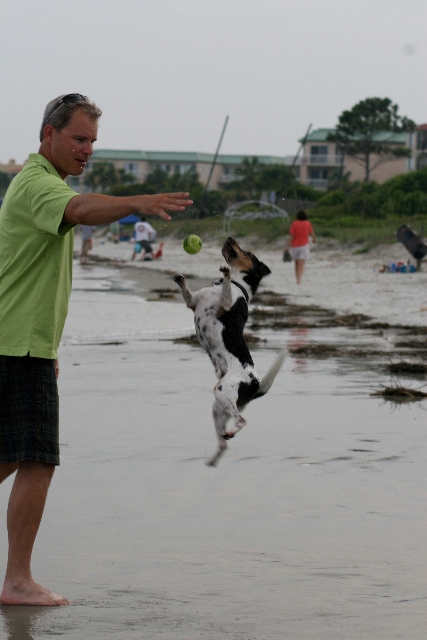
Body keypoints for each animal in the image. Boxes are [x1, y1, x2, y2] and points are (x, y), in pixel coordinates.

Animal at [174, 235, 288, 464]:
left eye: (248, 253)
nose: (229, 237)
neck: (238, 285)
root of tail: (255, 385)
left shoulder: (226, 304)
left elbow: (226, 284)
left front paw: (225, 272)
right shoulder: (192, 301)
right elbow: (186, 290)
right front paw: (179, 278)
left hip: (223, 393)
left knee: (242, 421)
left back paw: (232, 433)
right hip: (219, 406)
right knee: (224, 443)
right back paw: (214, 458)